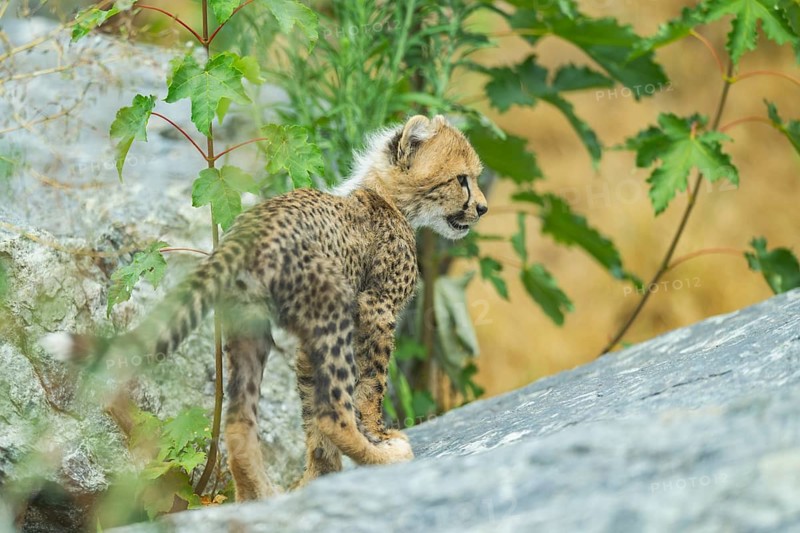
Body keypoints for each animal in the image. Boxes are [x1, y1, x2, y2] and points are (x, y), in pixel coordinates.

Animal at [42, 114, 488, 501]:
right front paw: (377, 436)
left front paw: (319, 478)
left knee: (239, 424)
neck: (385, 195)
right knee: (334, 414)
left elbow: (311, 412)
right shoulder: (375, 309)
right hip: (332, 308)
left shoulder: (308, 342)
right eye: (462, 179)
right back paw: (382, 458)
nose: (482, 208)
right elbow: (369, 387)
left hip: (250, 331)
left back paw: (256, 499)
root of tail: (244, 230)